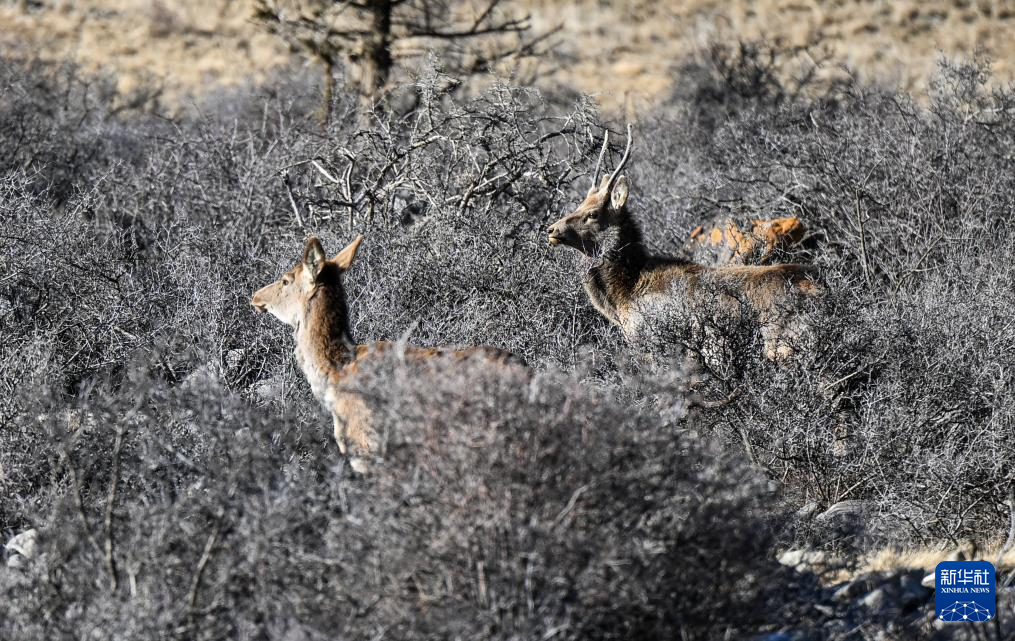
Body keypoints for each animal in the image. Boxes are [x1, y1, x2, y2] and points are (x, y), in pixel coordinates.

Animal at [547, 125, 823, 366]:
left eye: (592, 214)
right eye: (579, 204)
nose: (552, 230)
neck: (622, 295)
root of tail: (820, 290)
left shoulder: (653, 343)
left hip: (783, 345)